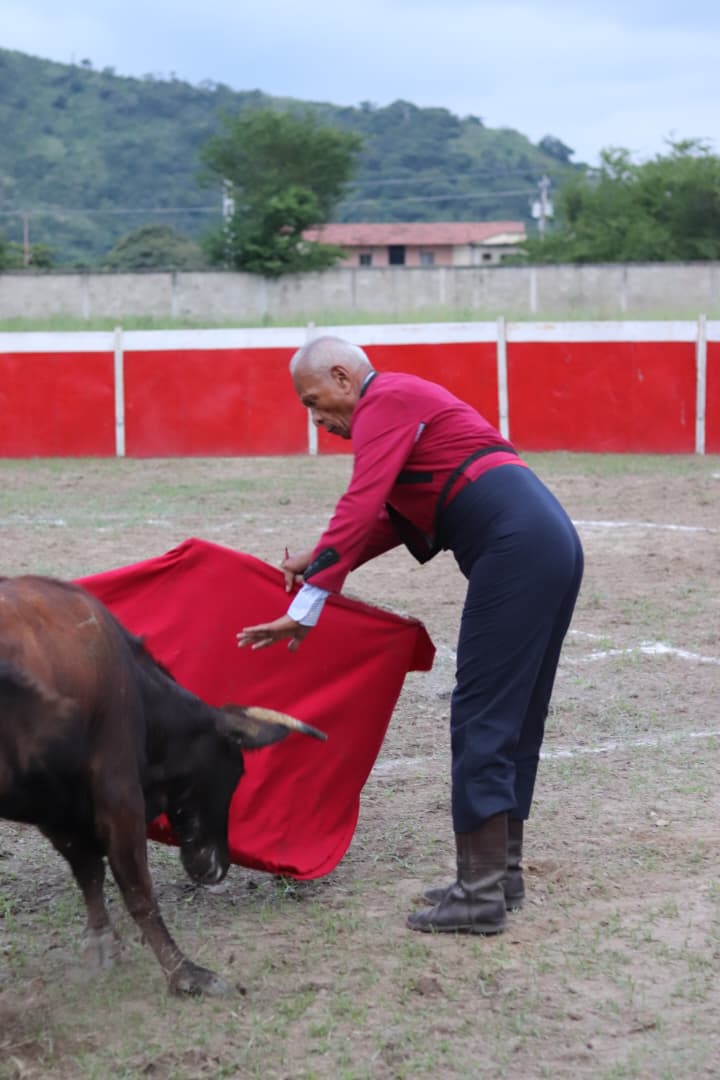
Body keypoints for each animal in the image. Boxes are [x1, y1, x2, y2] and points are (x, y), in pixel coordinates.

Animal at [0, 575, 326, 996]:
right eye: (236, 771)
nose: (218, 867)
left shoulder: (59, 810)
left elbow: (89, 870)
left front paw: (102, 946)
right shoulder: (119, 793)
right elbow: (137, 889)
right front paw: (187, 973)